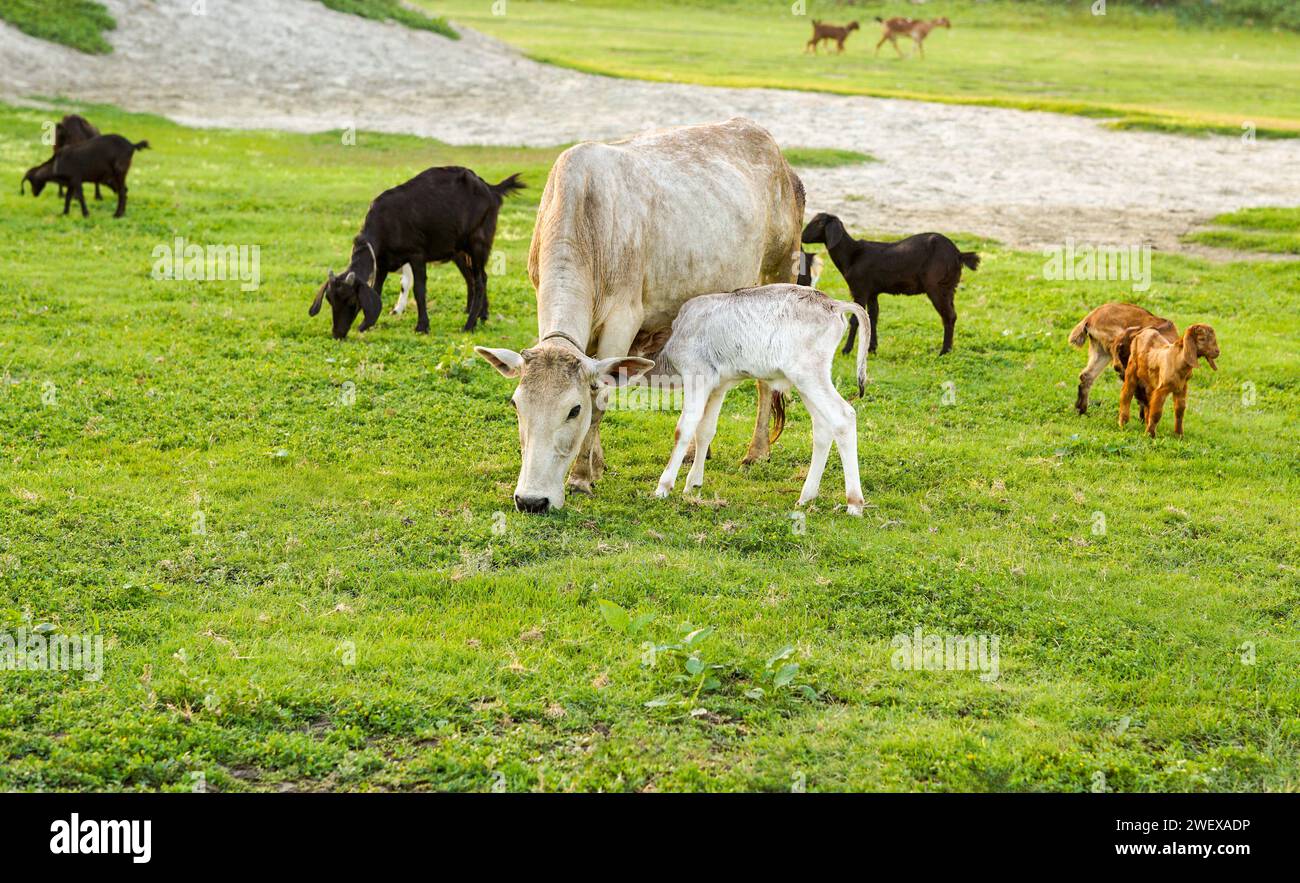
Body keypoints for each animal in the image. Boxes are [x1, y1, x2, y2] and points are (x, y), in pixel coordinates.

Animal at [309, 167, 522, 340]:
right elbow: (377, 289)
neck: (385, 223)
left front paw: (422, 327)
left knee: (480, 280)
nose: (337, 334)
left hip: (478, 242)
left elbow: (419, 289)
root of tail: (491, 189)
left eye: (353, 302)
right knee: (474, 277)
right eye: (329, 300)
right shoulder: (382, 262)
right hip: (460, 250)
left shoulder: (417, 255)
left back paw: (469, 325)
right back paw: (480, 315)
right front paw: (370, 325)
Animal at [478, 120, 800, 514]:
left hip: (779, 271)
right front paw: (598, 465)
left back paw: (757, 452)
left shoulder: (622, 318)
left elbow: (601, 396)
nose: (531, 500)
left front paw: (581, 477)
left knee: (764, 382)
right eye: (516, 404)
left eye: (573, 410)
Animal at [655, 284, 868, 517]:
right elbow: (705, 431)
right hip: (807, 382)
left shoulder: (696, 375)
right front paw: (692, 485)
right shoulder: (718, 385)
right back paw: (806, 497)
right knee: (822, 427)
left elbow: (684, 429)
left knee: (843, 417)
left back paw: (854, 503)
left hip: (808, 376)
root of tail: (833, 303)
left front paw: (663, 487)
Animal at [795, 211, 977, 353]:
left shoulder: (860, 289)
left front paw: (846, 349)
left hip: (937, 287)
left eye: (819, 222)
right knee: (952, 314)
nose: (802, 237)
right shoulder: (872, 291)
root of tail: (959, 254)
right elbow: (873, 316)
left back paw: (944, 351)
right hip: (949, 287)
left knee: (948, 316)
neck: (852, 254)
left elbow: (856, 318)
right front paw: (872, 348)